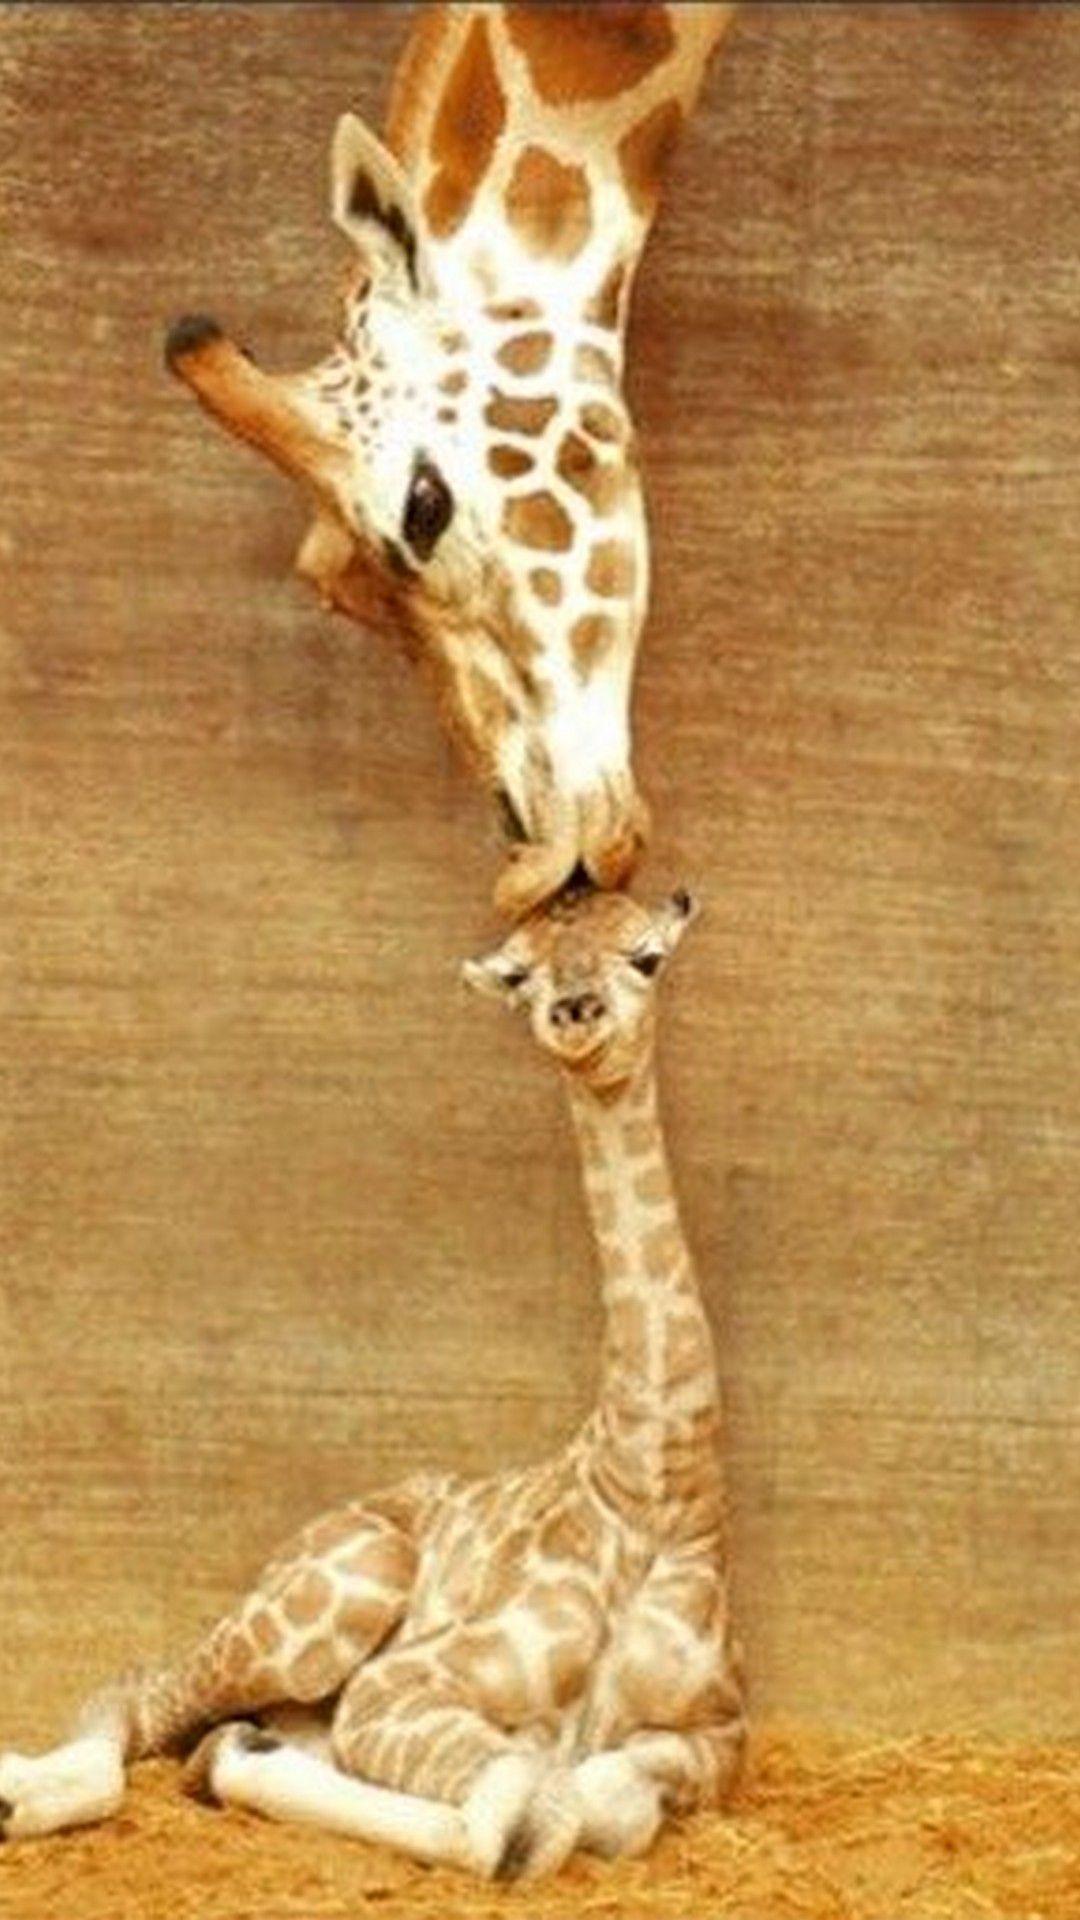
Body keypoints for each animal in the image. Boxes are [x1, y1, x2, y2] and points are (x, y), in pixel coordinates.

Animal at [0, 885, 744, 1879]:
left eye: (646, 956)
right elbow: (527, 1811)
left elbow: (604, 1804)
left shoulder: (723, 1735)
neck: (654, 1487)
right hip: (342, 1590)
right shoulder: (401, 1682)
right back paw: (26, 1790)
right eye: (521, 975)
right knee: (140, 1690)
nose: (575, 1013)